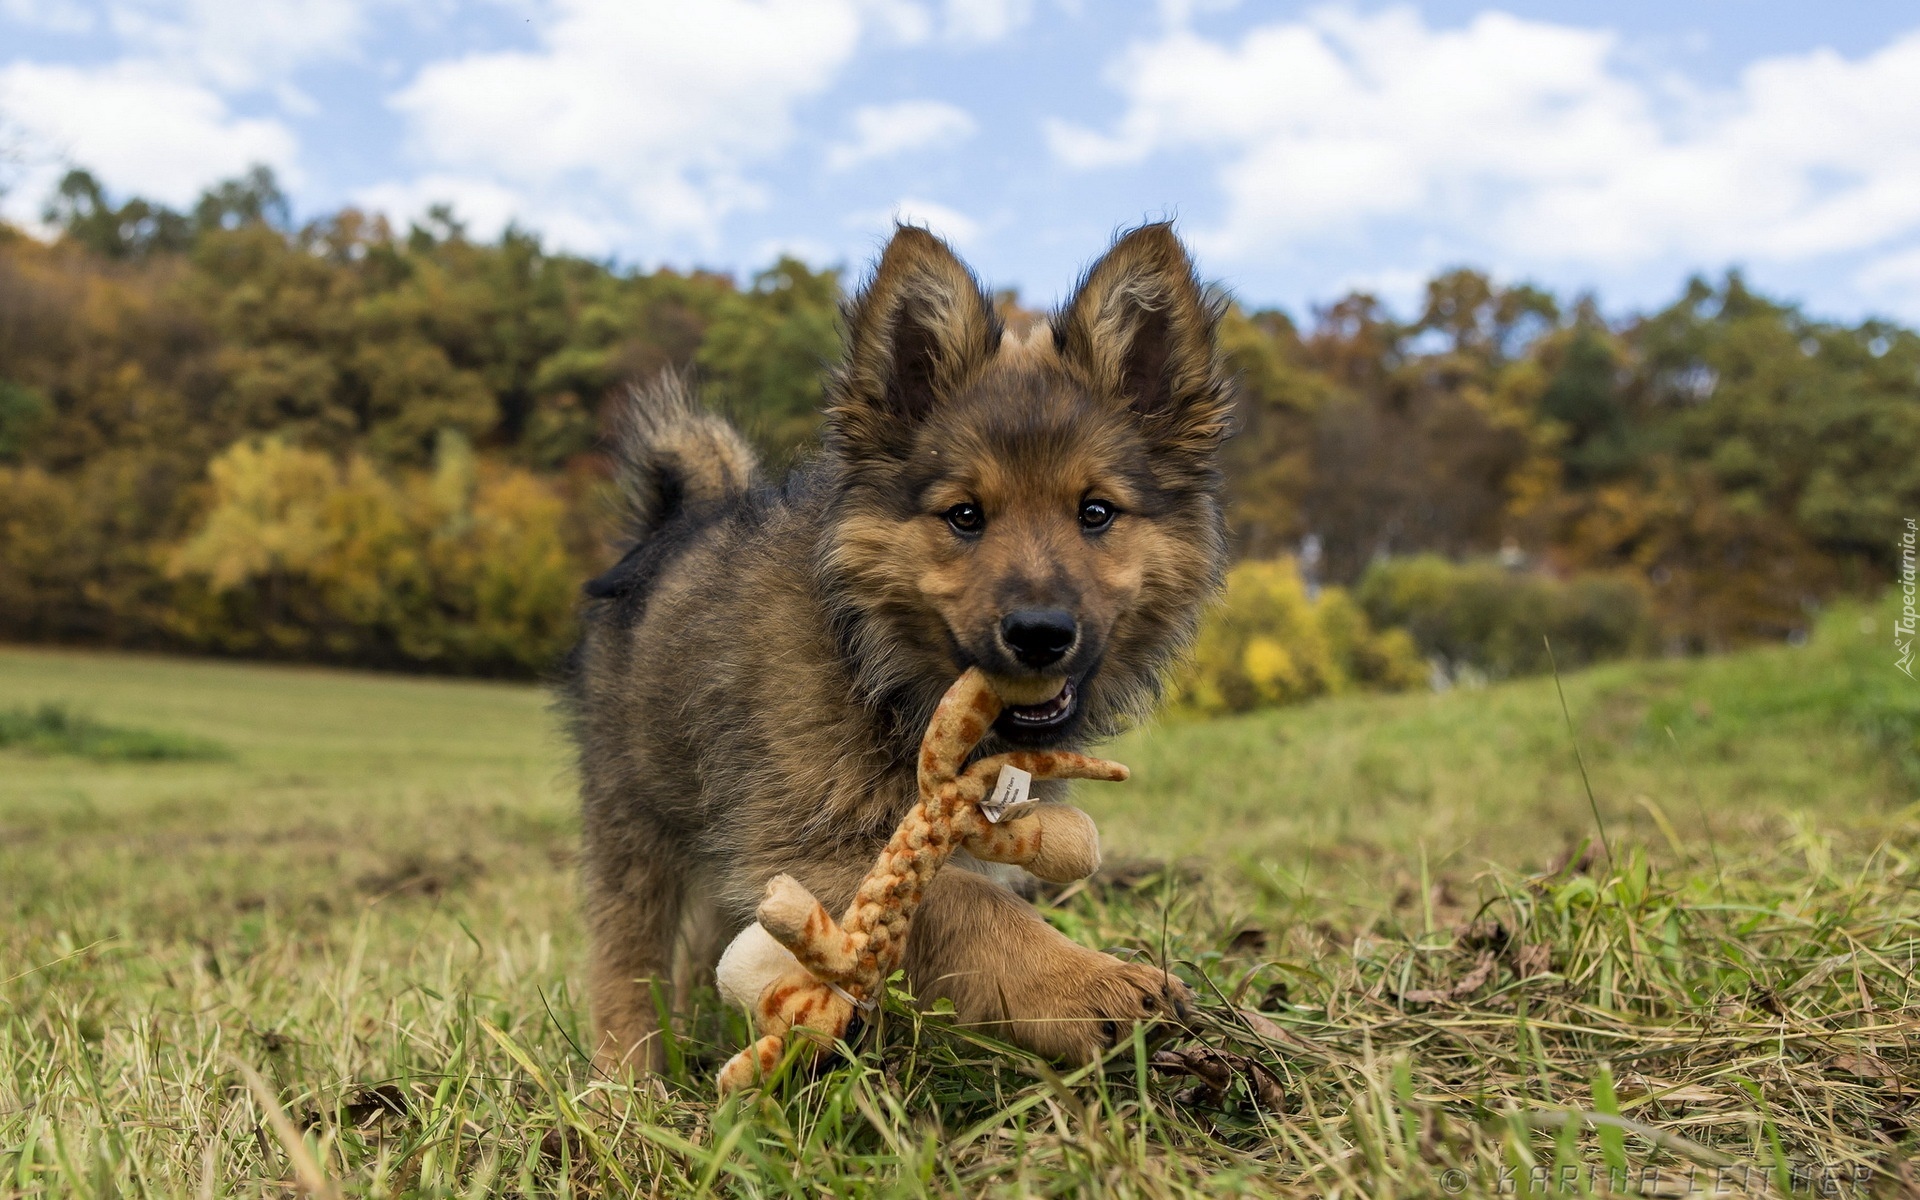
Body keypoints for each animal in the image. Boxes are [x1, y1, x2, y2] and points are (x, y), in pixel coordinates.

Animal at [564, 224, 1228, 1075]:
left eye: (1097, 512)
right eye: (966, 515)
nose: (1041, 632)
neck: (878, 664)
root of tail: (671, 523)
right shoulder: (807, 837)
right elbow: (965, 905)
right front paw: (1087, 985)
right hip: (633, 819)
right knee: (627, 961)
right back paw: (630, 1076)